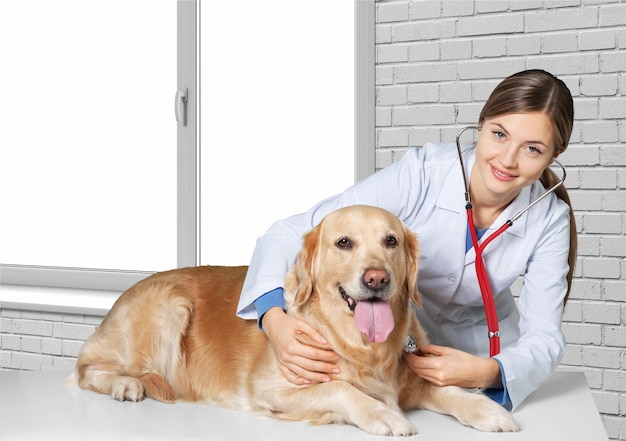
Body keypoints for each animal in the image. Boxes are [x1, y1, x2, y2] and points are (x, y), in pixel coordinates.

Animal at [73, 205, 516, 434]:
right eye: (344, 242)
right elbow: (341, 389)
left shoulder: (411, 375)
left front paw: (488, 409)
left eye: (391, 240)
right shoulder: (271, 389)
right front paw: (382, 414)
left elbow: (447, 389)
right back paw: (126, 385)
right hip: (170, 306)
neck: (362, 347)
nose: (377, 278)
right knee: (85, 367)